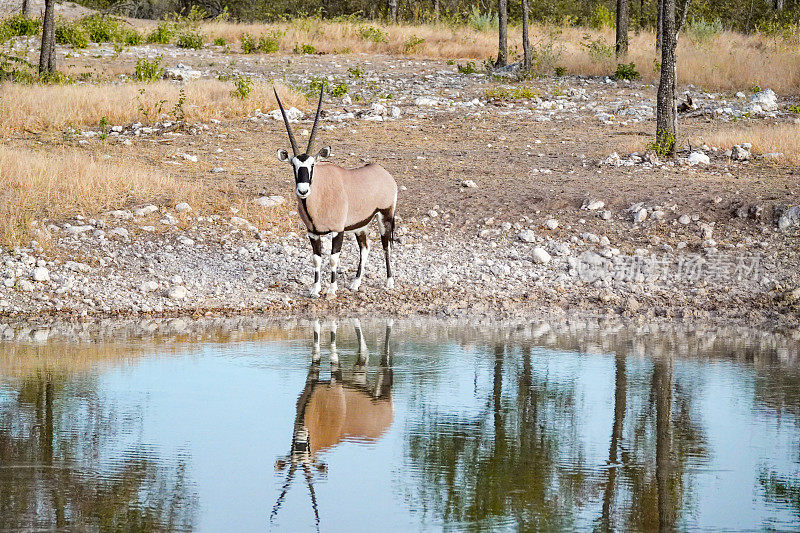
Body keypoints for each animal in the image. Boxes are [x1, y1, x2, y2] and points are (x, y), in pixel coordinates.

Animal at [268, 318, 394, 524]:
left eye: (307, 448)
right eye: (295, 449)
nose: (301, 437)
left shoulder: (335, 381)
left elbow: (333, 346)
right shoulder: (311, 381)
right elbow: (316, 346)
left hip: (382, 390)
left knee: (386, 347)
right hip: (358, 381)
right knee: (359, 334)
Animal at [276, 88, 400, 298]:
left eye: (312, 165)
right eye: (294, 165)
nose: (303, 190)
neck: (319, 196)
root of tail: (384, 173)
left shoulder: (337, 230)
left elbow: (334, 258)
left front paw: (332, 289)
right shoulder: (313, 233)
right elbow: (316, 259)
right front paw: (315, 289)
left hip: (385, 215)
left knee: (386, 246)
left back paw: (389, 282)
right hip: (361, 225)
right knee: (365, 248)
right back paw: (356, 283)